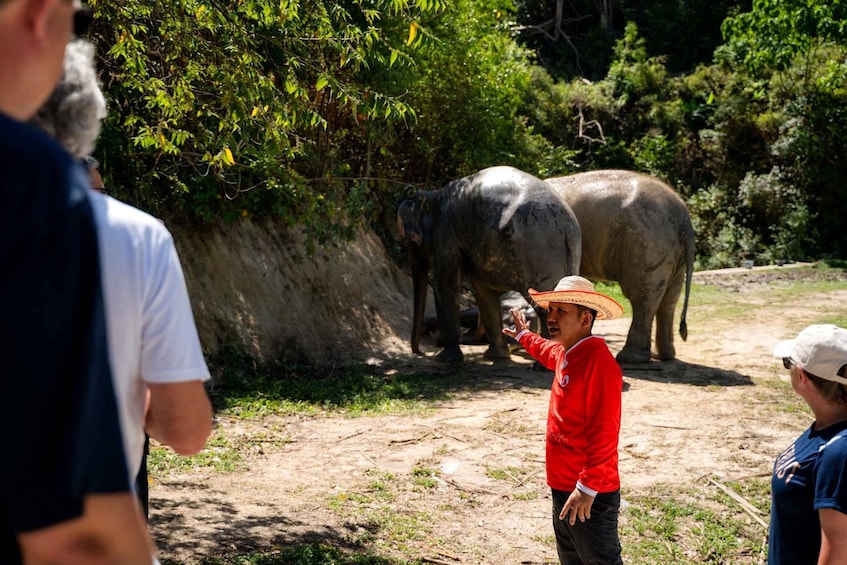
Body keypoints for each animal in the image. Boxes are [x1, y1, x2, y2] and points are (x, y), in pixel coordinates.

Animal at [397, 166, 582, 363]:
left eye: (409, 239)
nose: (419, 352)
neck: (434, 195)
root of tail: (568, 226)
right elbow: (483, 289)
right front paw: (496, 356)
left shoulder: (446, 232)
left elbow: (445, 284)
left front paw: (445, 359)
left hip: (538, 249)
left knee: (545, 304)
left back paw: (542, 365)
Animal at [545, 170, 695, 364]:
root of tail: (683, 216)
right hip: (671, 250)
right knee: (669, 299)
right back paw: (664, 356)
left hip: (647, 242)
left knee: (642, 297)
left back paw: (630, 358)